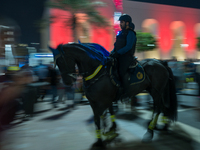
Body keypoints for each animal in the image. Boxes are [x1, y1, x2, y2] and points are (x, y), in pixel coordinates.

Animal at [49, 43, 177, 148]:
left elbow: (98, 118)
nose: (67, 82)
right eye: (56, 63)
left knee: (157, 108)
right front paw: (111, 131)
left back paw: (149, 131)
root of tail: (160, 62)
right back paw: (163, 126)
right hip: (157, 91)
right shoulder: (98, 101)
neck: (97, 72)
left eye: (61, 61)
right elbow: (107, 115)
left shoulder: (102, 101)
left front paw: (100, 140)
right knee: (164, 107)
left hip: (156, 92)